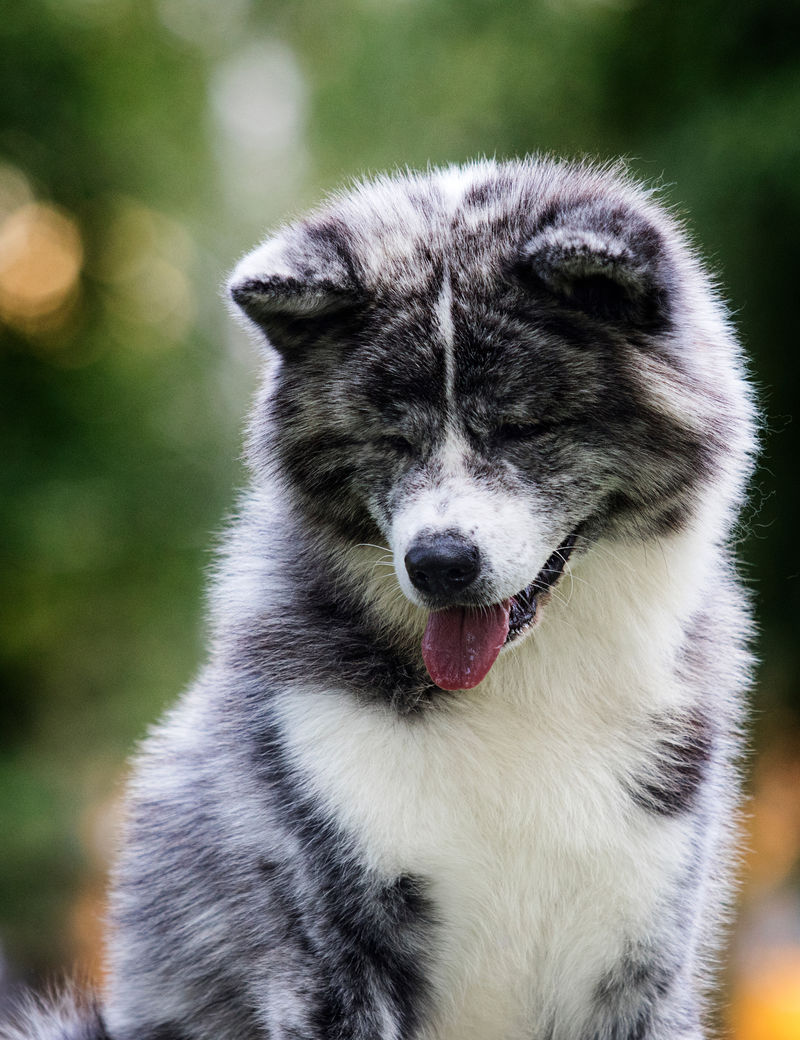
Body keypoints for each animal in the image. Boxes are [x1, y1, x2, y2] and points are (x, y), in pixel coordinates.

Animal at [4, 156, 757, 1040]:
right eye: (390, 437)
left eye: (524, 427)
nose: (440, 563)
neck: (525, 695)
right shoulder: (328, 939)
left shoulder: (640, 956)